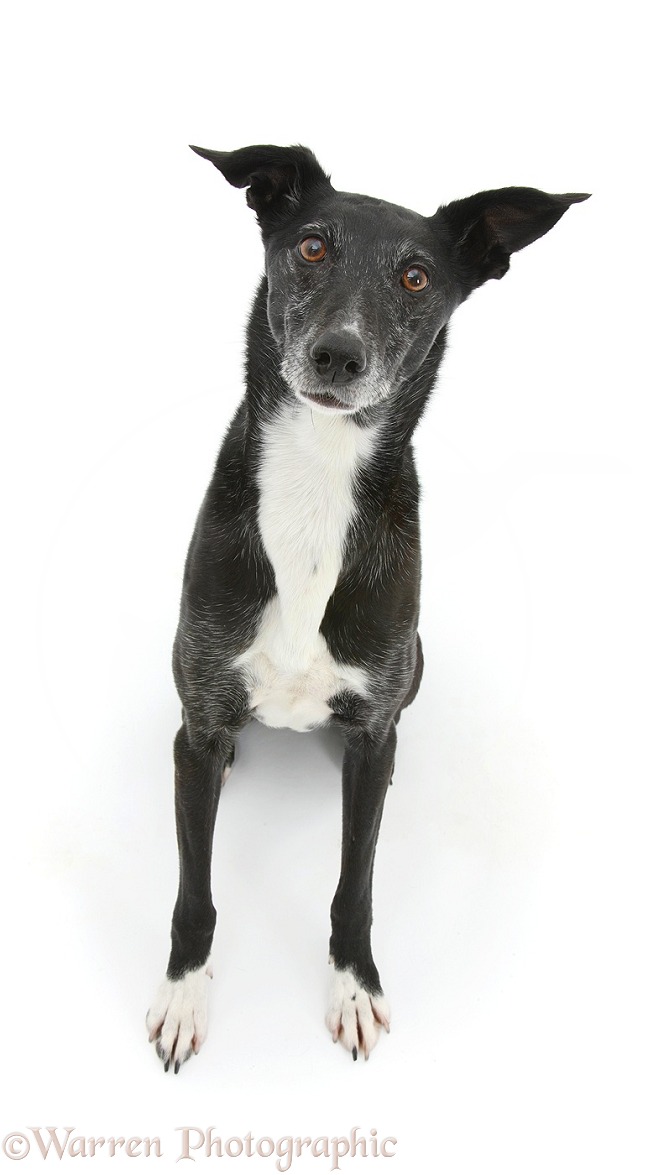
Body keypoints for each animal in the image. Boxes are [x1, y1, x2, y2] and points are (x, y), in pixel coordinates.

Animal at [144, 142, 583, 1071]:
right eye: (312, 247)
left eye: (417, 276)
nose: (338, 355)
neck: (316, 476)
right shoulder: (198, 712)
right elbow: (194, 888)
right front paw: (184, 993)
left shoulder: (377, 713)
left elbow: (355, 883)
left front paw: (354, 986)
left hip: (413, 669)